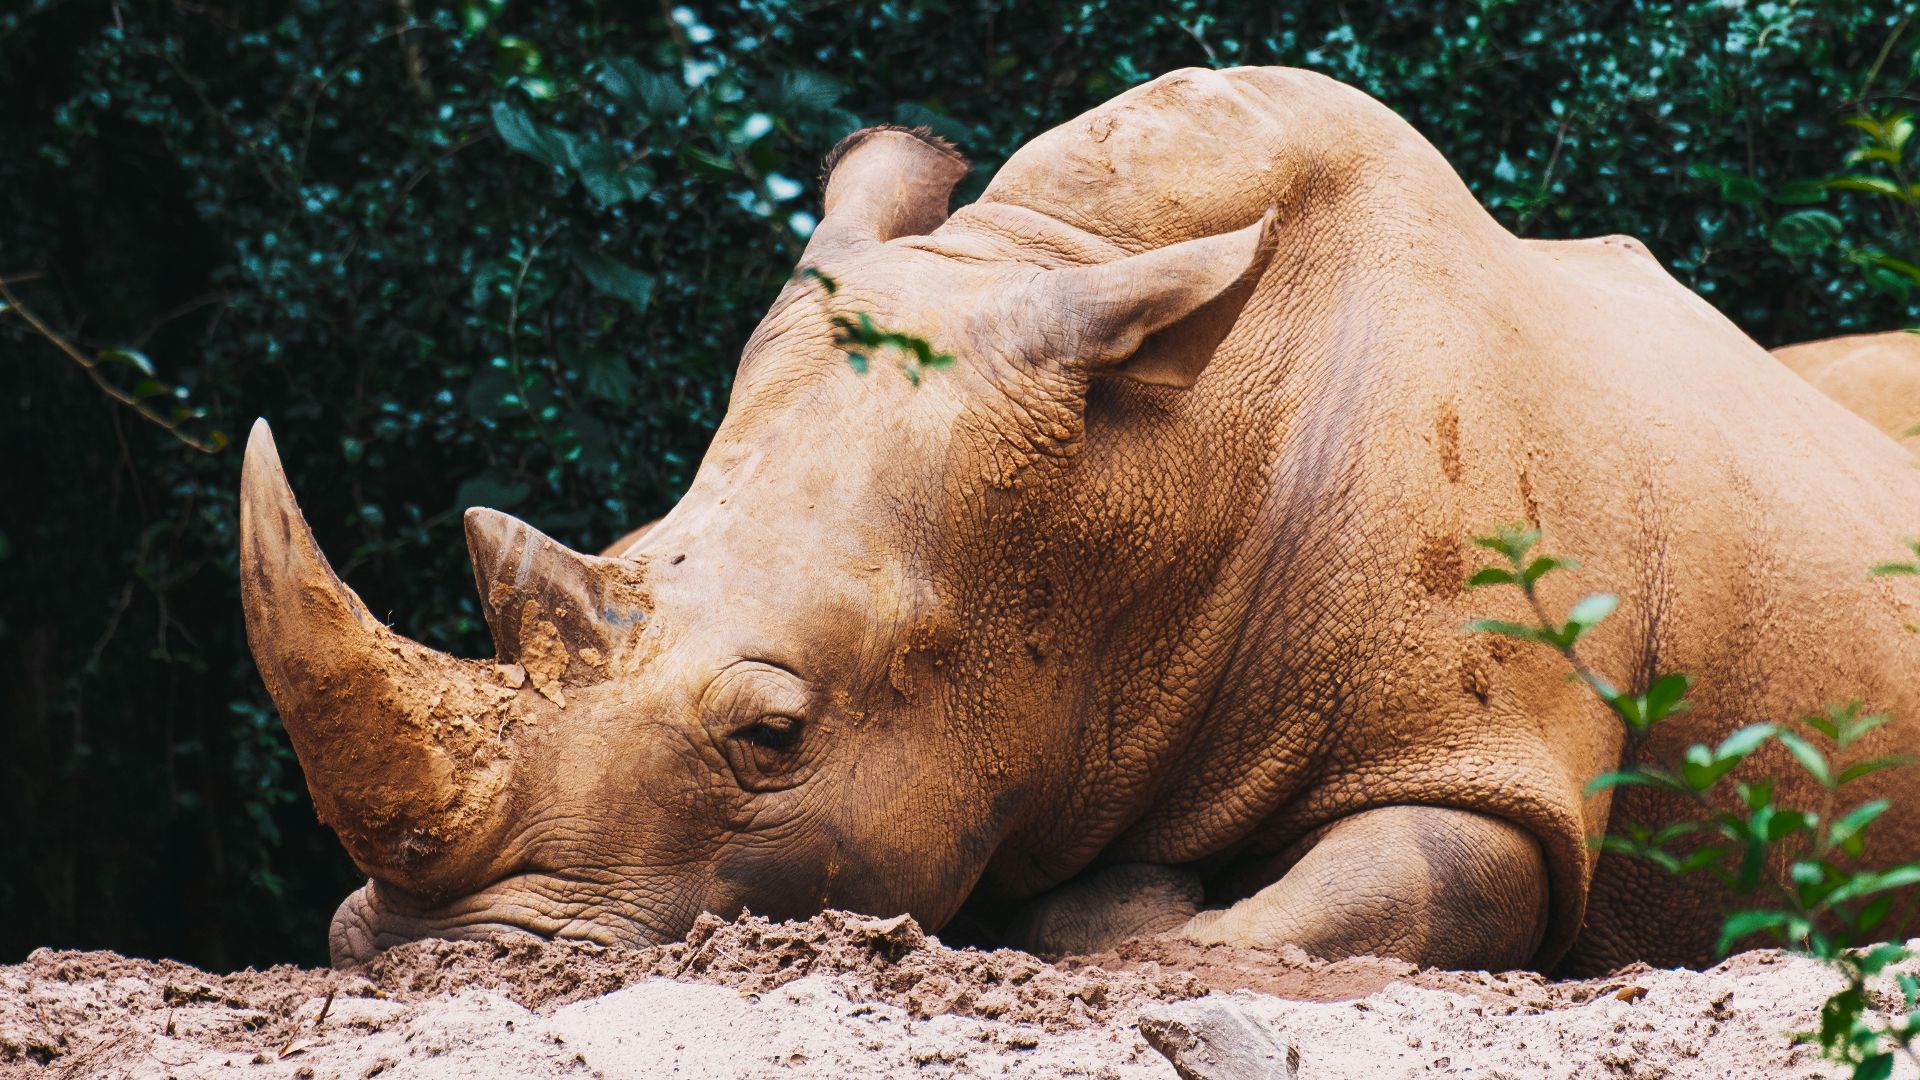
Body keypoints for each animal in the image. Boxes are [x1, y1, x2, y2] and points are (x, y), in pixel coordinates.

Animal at [240, 66, 1920, 974]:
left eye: (776, 737)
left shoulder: (1488, 763)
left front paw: (1134, 901)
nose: (441, 963)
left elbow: (1392, 891)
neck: (1152, 484)